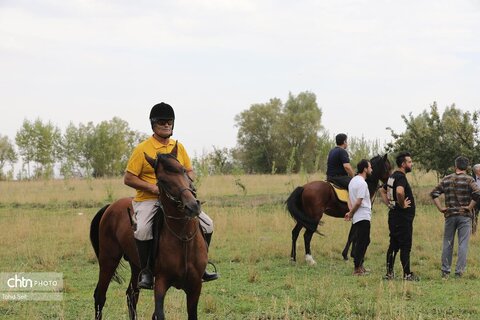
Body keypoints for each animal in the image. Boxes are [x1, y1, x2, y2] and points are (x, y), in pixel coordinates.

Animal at [90, 146, 206, 320]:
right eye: (163, 181)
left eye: (184, 170)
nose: (192, 206)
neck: (183, 237)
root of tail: (110, 206)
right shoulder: (161, 282)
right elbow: (159, 313)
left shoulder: (195, 286)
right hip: (108, 260)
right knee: (100, 296)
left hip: (136, 264)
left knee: (131, 295)